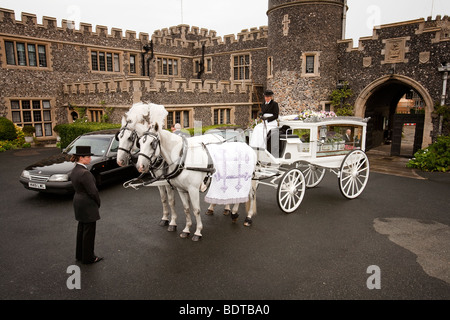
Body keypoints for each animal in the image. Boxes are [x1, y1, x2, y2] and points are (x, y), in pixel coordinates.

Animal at [116, 102, 179, 230]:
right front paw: (165, 218)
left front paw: (173, 222)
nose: (120, 161)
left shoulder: (167, 182)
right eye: (119, 137)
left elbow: (171, 201)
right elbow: (163, 199)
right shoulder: (159, 182)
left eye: (130, 138)